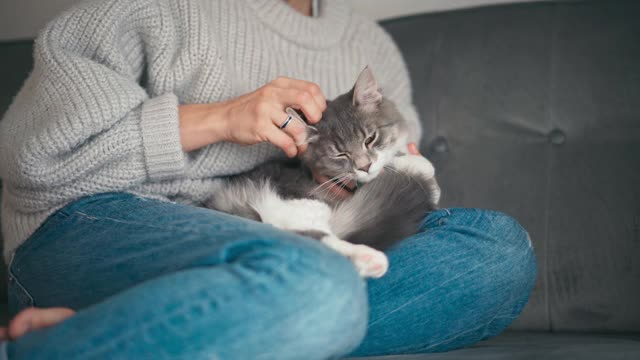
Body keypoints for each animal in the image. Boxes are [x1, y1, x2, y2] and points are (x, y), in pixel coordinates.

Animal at [205, 66, 440, 278]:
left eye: (370, 139)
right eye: (340, 154)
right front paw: (419, 168)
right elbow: (410, 164)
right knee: (311, 239)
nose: (364, 166)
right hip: (302, 203)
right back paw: (371, 259)